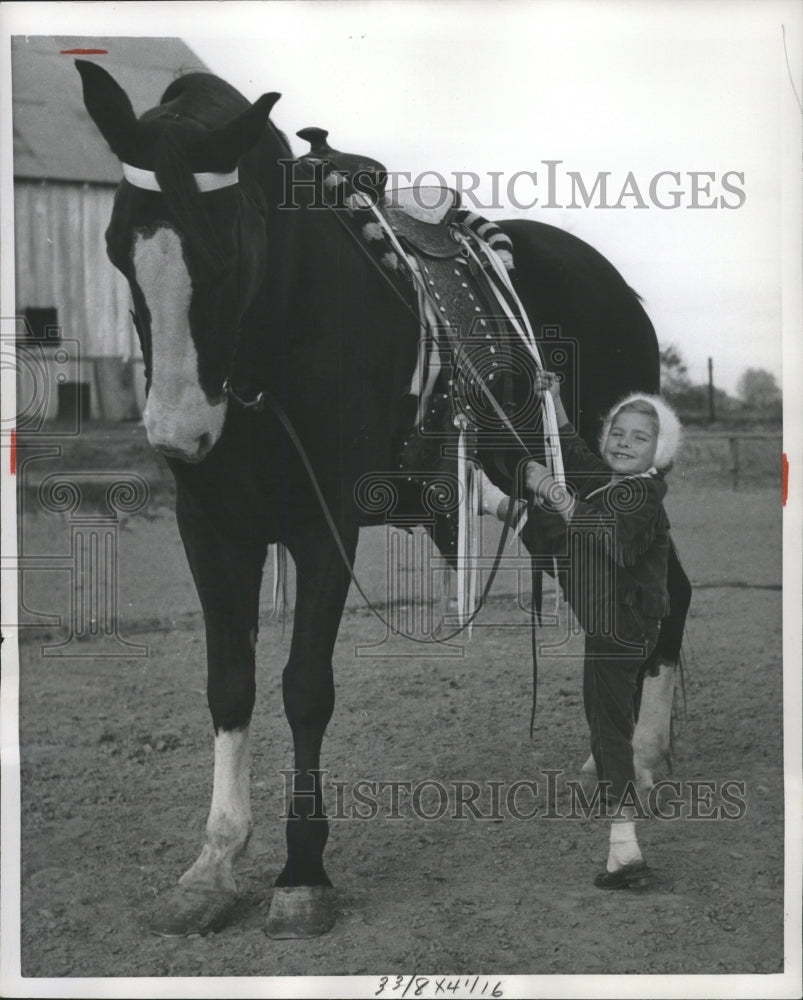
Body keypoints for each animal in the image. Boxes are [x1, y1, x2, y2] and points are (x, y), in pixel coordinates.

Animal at [77, 62, 692, 936]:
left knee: (665, 592)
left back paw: (640, 756)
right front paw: (213, 865)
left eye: (226, 250)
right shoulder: (213, 529)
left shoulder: (324, 527)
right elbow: (229, 684)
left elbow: (305, 687)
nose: (179, 432)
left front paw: (301, 874)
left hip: (614, 492)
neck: (280, 335)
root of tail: (617, 285)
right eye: (118, 249)